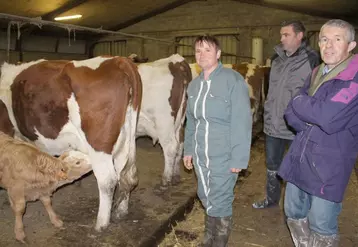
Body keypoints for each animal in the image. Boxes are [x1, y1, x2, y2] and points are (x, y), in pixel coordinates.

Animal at [0, 57, 143, 231]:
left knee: (107, 180)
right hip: (125, 140)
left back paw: (101, 224)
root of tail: (117, 60)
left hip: (99, 145)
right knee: (127, 175)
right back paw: (120, 212)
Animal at [136, 54, 193, 189]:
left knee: (171, 146)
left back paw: (166, 180)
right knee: (180, 144)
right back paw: (175, 176)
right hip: (179, 122)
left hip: (164, 123)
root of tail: (175, 60)